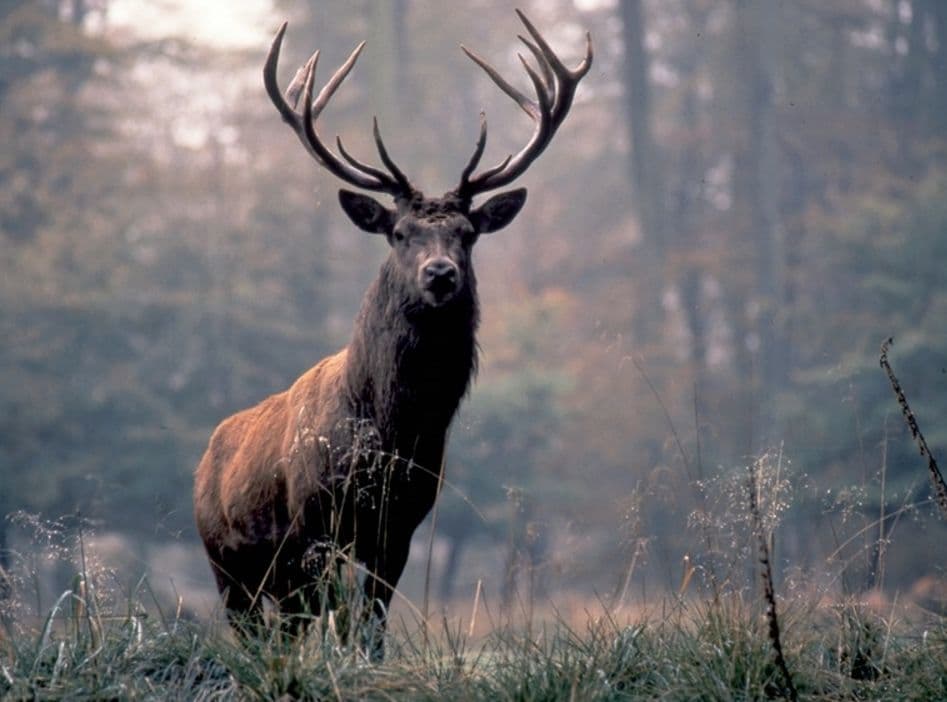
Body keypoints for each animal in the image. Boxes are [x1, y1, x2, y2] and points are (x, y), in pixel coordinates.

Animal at [193, 10, 591, 658]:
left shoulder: (401, 524)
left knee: (289, 628)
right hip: (225, 562)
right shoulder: (314, 521)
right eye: (400, 233)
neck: (392, 433)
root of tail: (206, 458)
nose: (441, 274)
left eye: (466, 234)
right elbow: (334, 620)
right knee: (261, 631)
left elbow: (371, 624)